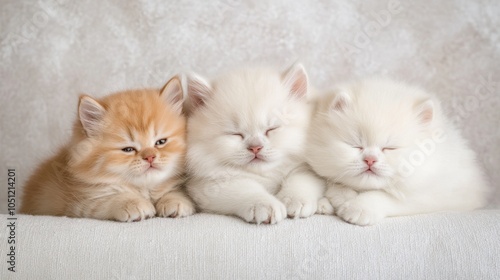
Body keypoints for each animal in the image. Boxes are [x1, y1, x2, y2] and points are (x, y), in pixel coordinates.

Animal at [20, 76, 195, 221]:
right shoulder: (78, 204)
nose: (150, 157)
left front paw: (175, 201)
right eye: (128, 149)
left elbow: (172, 191)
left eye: (160, 142)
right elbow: (108, 199)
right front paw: (133, 203)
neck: (144, 189)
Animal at [186, 64, 326, 224]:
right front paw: (264, 205)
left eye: (272, 129)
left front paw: (295, 199)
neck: (265, 174)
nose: (255, 147)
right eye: (235, 134)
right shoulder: (207, 186)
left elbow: (301, 179)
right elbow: (245, 188)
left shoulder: (307, 168)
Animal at [306, 78, 490, 225]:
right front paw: (333, 199)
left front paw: (358, 208)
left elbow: (384, 196)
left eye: (390, 148)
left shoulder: (431, 196)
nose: (370, 160)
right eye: (356, 145)